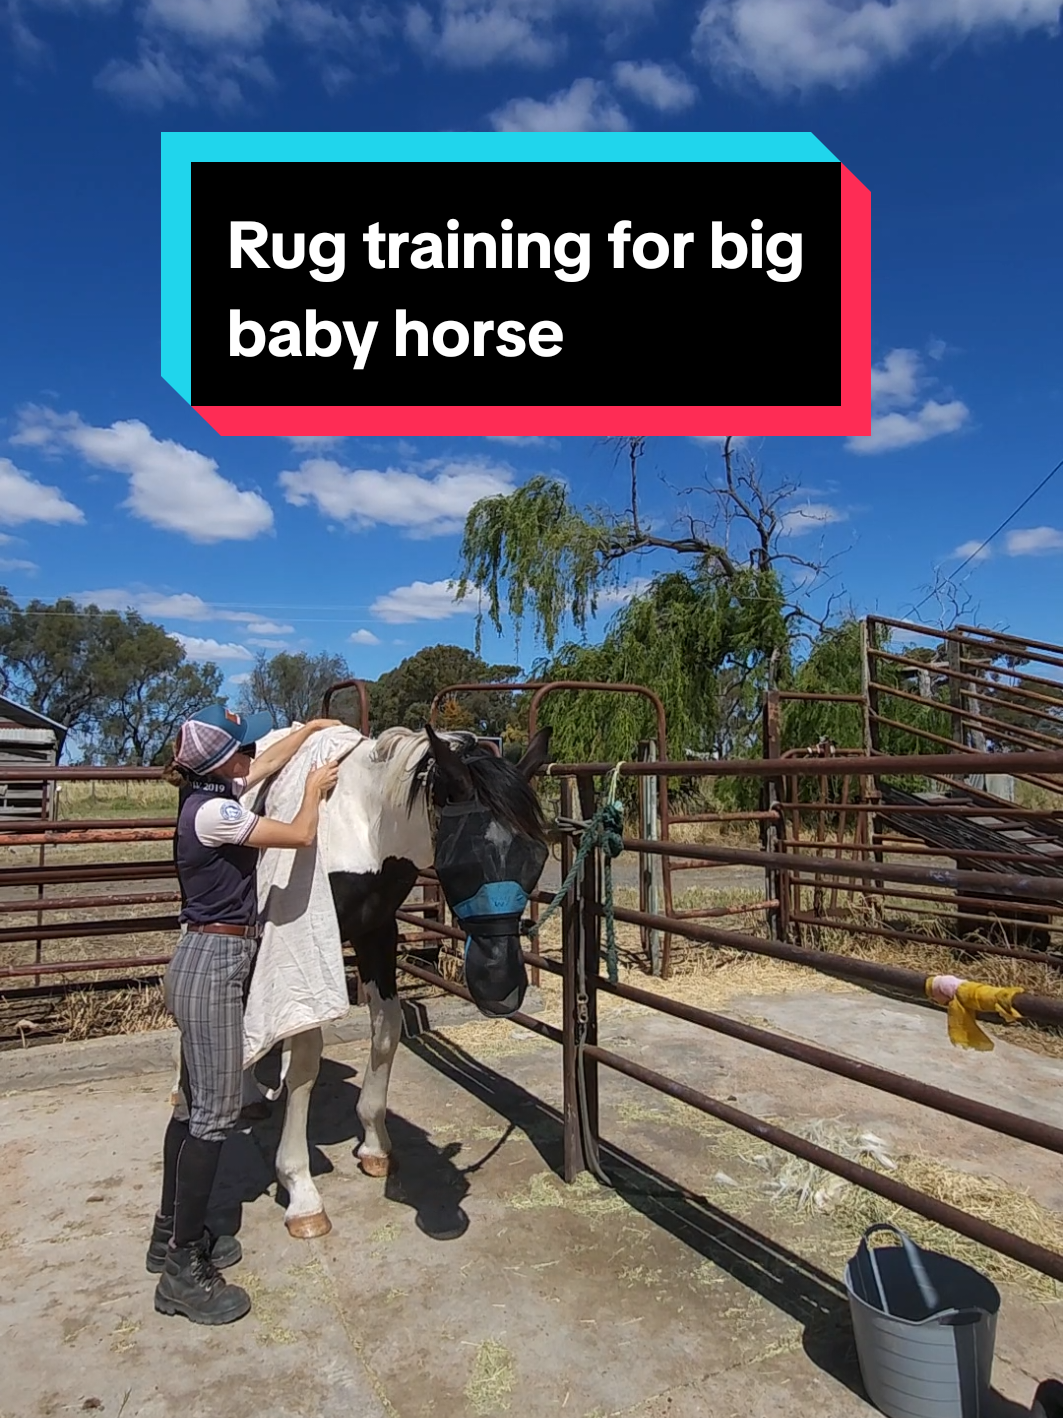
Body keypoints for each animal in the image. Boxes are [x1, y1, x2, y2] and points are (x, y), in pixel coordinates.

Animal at [172, 721, 552, 1240]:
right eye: (462, 856)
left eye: (538, 854)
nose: (501, 987)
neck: (362, 827)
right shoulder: (310, 949)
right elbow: (305, 1059)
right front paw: (300, 1192)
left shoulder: (378, 931)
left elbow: (387, 1029)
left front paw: (375, 1145)